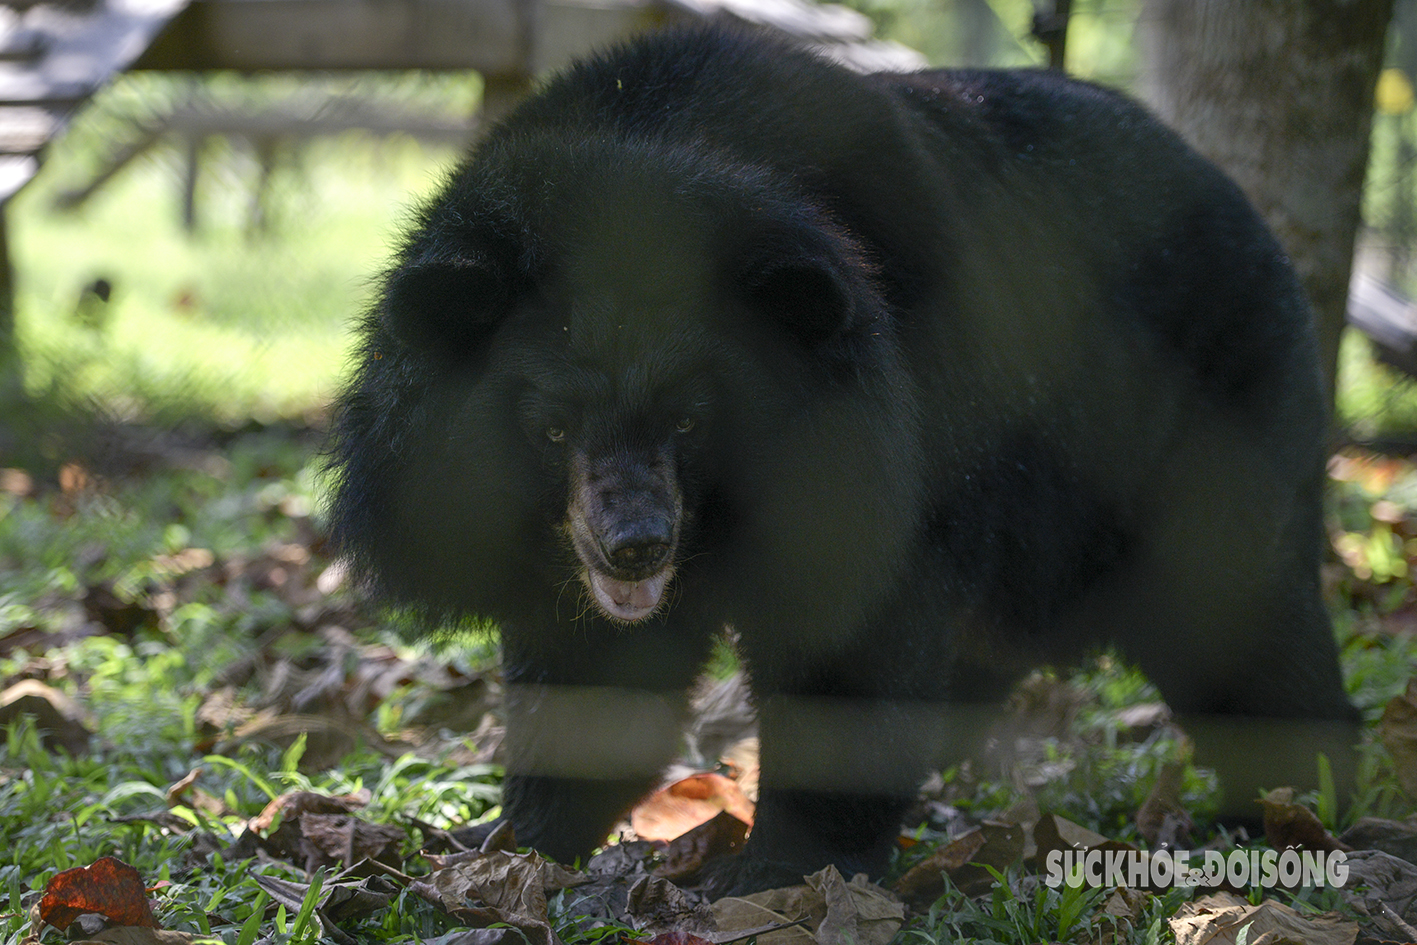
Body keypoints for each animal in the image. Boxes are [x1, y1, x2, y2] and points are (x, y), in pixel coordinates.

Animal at [325, 24, 1354, 895]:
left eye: (693, 422)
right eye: (548, 428)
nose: (636, 545)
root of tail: (1242, 208)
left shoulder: (874, 451)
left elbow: (853, 644)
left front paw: (776, 871)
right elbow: (587, 671)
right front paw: (504, 842)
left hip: (1212, 412)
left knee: (1240, 610)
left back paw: (1287, 809)